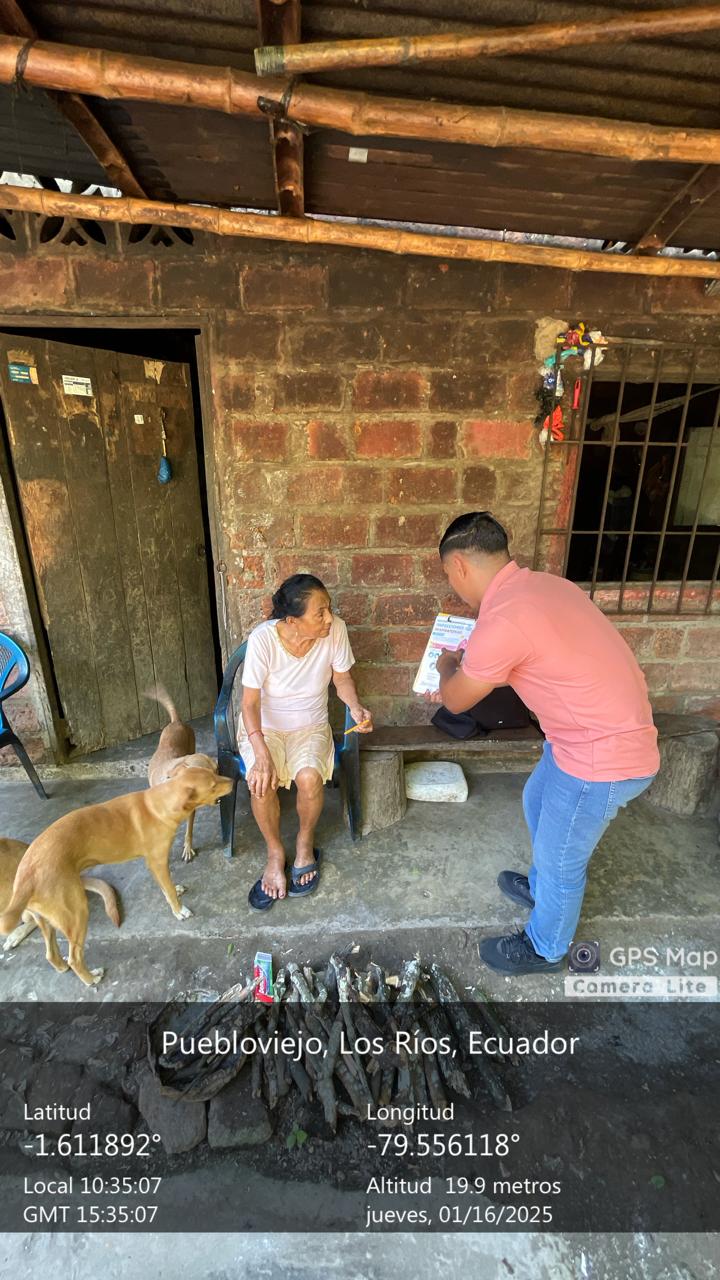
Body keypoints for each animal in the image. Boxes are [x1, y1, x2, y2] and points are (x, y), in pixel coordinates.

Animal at [146, 685, 219, 862]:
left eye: (217, 770)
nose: (220, 800)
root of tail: (176, 721)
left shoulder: (191, 812)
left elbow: (188, 831)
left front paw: (187, 848)